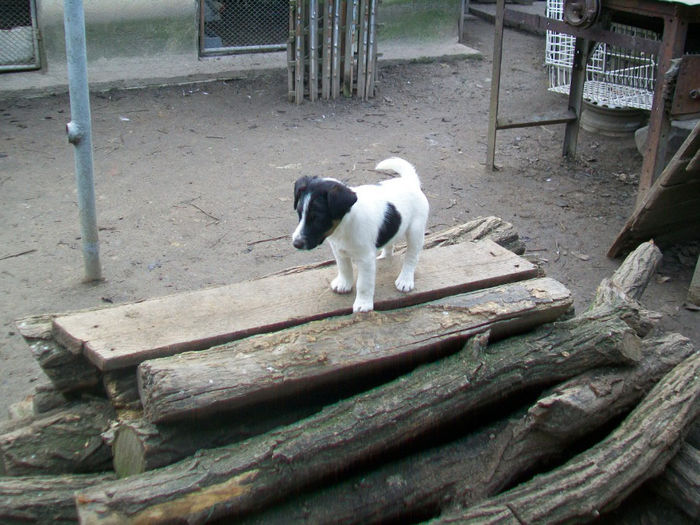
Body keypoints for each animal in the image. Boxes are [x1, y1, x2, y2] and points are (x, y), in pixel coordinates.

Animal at [292, 156, 432, 312]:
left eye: (317, 218)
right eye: (299, 213)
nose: (296, 244)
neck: (344, 225)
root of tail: (409, 181)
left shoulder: (365, 259)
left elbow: (364, 284)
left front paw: (363, 304)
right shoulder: (339, 251)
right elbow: (344, 268)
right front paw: (344, 284)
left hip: (416, 231)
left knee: (411, 257)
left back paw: (405, 280)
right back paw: (384, 257)